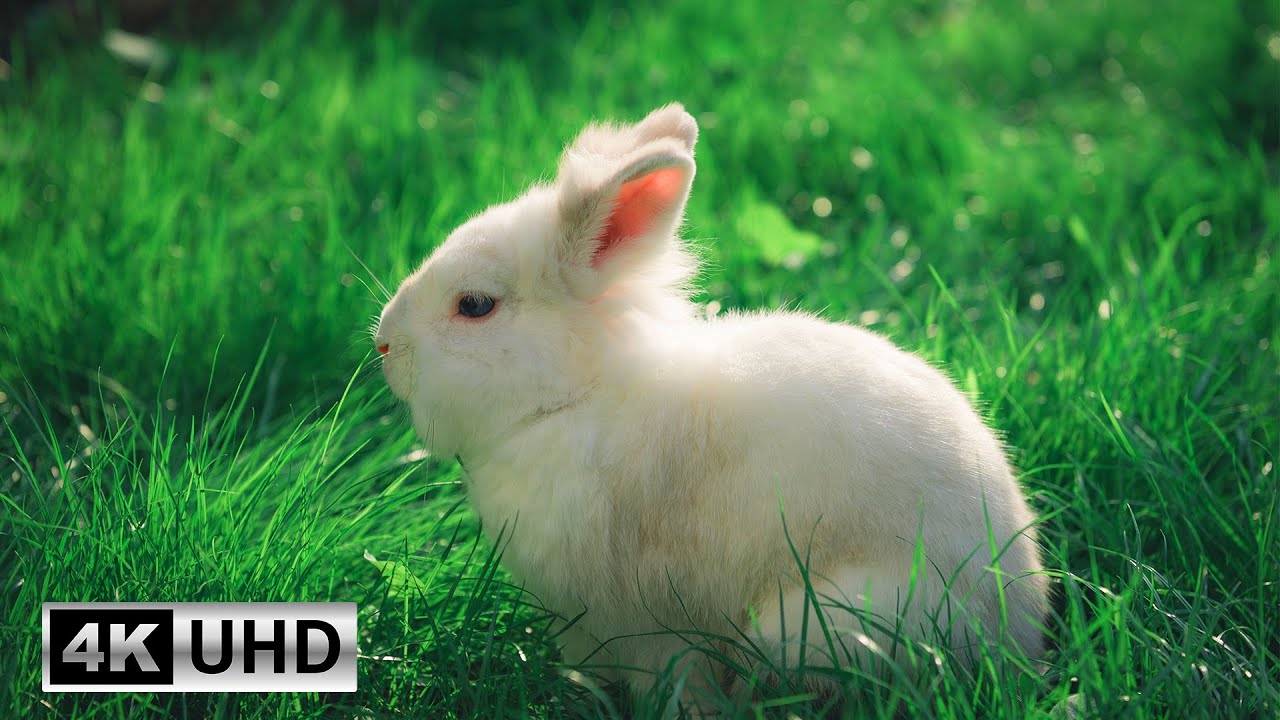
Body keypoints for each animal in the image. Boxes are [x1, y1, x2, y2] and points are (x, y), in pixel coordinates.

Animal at [374, 103, 1049, 709]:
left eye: (475, 306)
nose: (383, 343)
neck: (579, 397)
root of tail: (1015, 630)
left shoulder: (650, 628)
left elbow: (675, 680)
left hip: (819, 622)